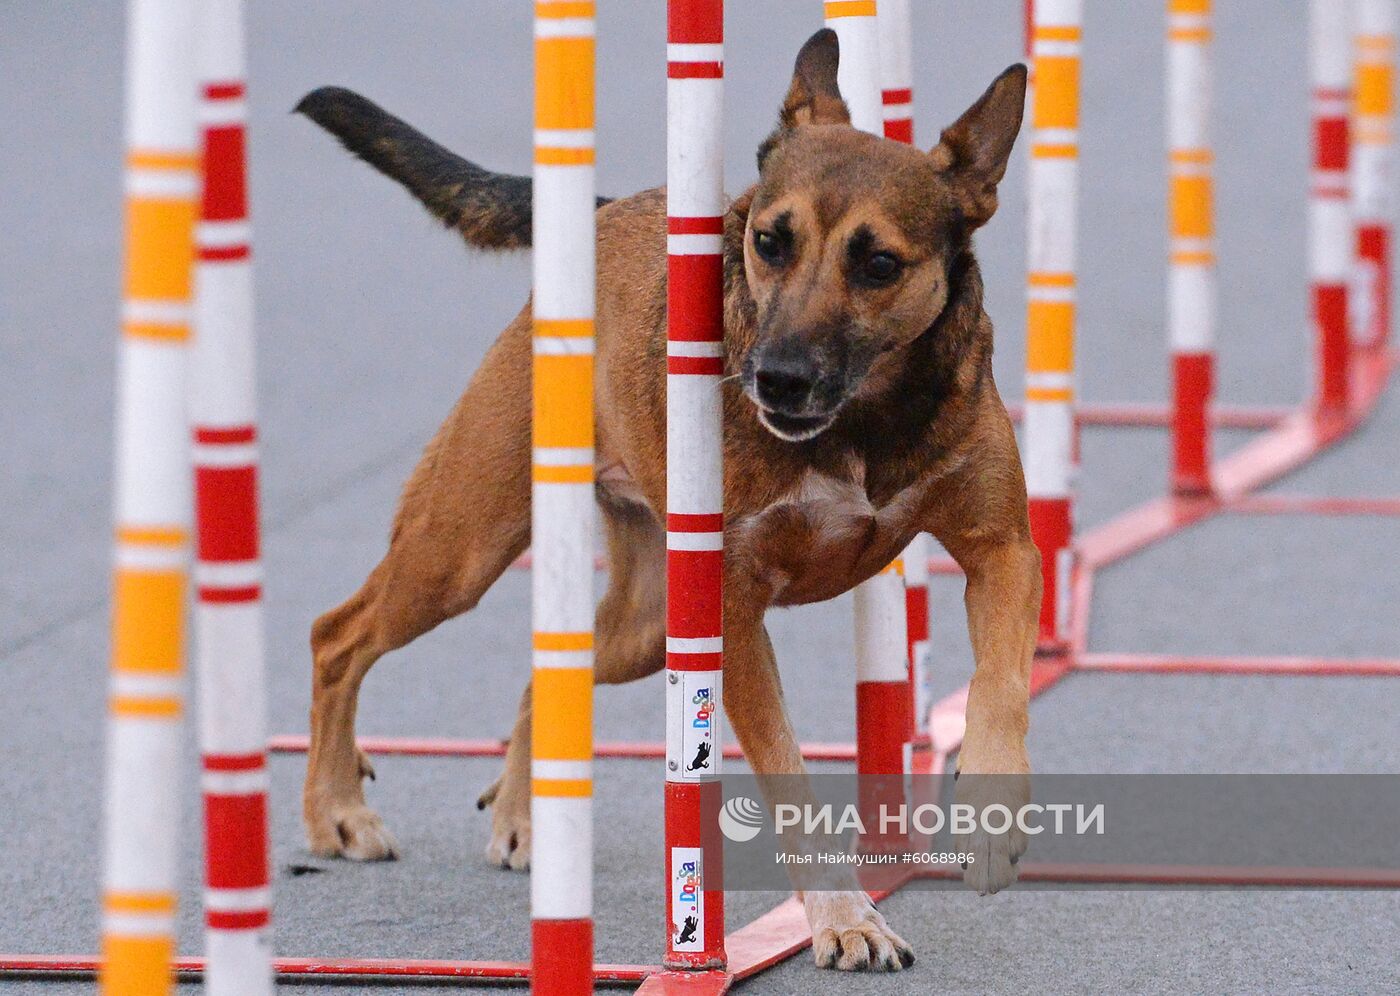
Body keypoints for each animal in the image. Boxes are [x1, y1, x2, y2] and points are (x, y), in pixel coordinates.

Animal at [298, 31, 1041, 974]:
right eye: (768, 241)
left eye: (879, 265)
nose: (776, 378)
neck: (863, 420)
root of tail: (608, 211)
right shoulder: (732, 610)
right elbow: (791, 778)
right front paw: (846, 917)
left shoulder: (1003, 550)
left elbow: (1002, 682)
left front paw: (991, 822)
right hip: (460, 553)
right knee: (339, 636)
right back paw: (336, 811)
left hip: (649, 623)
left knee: (545, 673)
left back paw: (523, 814)